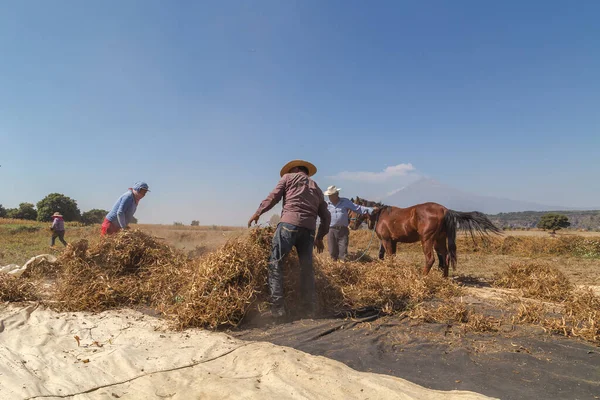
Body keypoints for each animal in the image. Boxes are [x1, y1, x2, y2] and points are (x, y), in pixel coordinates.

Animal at [346, 196, 502, 276]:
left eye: (353, 209)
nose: (351, 226)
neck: (380, 215)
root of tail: (444, 210)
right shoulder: (393, 241)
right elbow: (390, 257)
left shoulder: (386, 240)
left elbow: (388, 257)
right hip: (440, 239)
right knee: (445, 257)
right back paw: (444, 278)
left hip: (427, 240)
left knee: (430, 259)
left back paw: (423, 276)